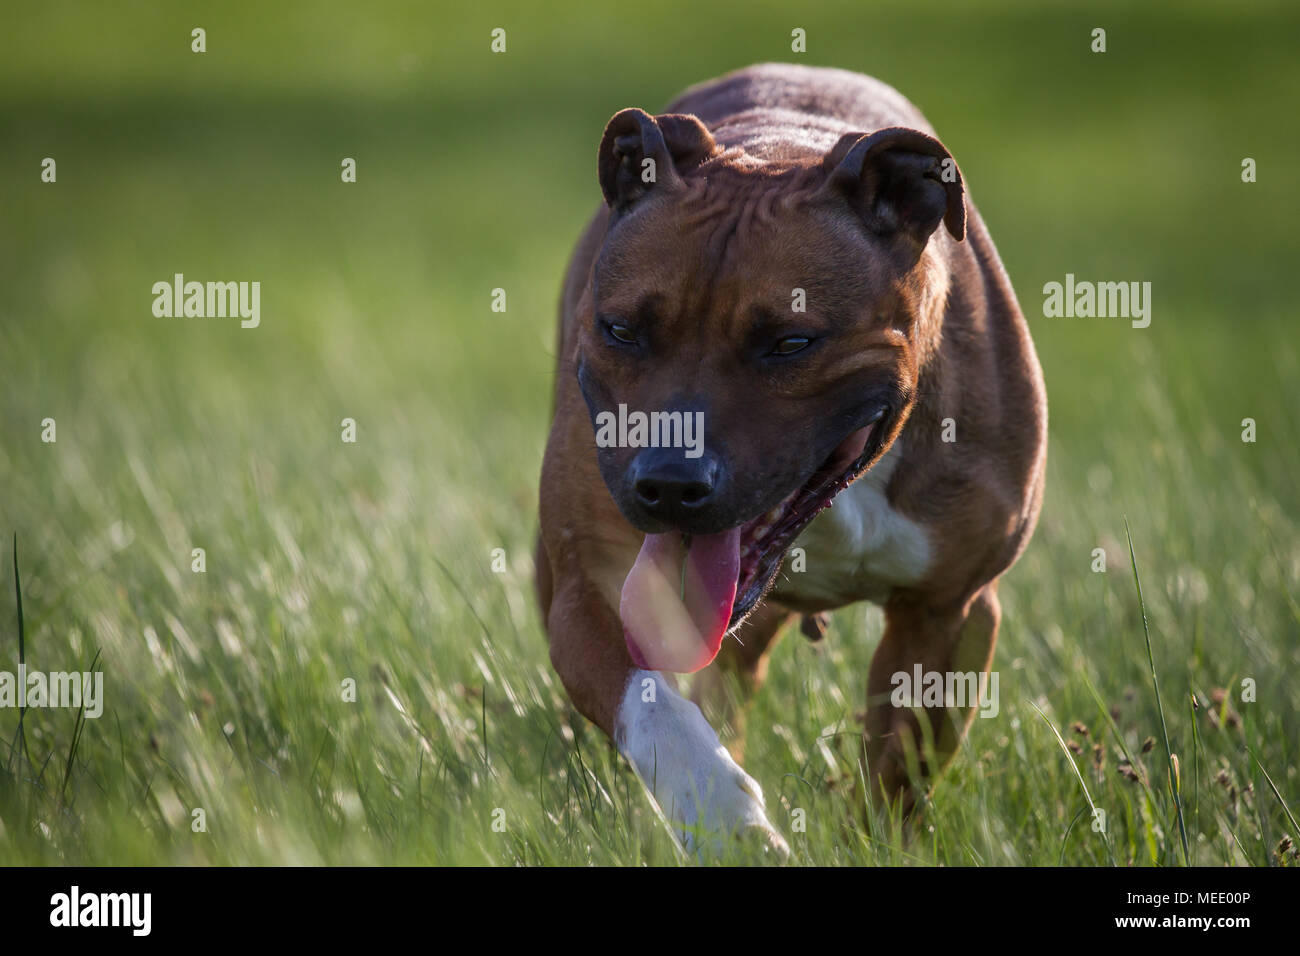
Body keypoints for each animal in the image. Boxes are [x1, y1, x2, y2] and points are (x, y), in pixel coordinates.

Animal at [530, 61, 1045, 853]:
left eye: (792, 342)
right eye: (620, 330)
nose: (669, 483)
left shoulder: (949, 611)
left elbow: (899, 766)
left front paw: (876, 845)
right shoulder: (590, 586)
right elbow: (651, 707)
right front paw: (724, 817)